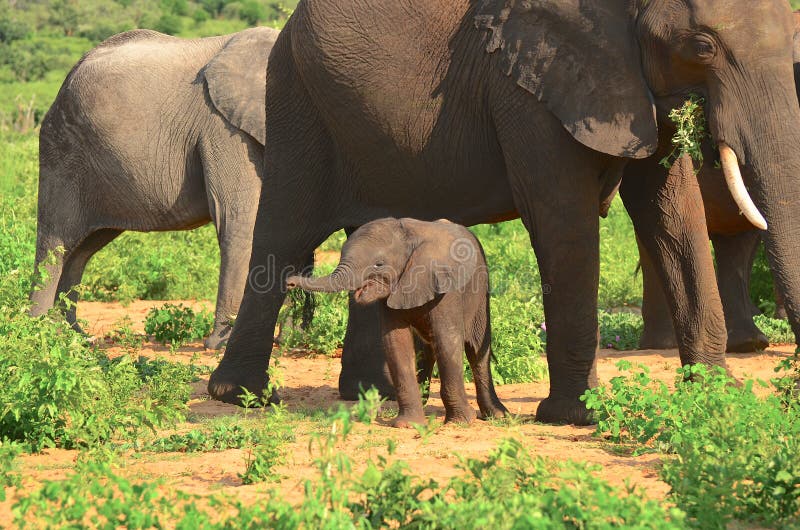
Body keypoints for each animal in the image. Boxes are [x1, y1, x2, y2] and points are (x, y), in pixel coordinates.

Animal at [32, 26, 288, 348]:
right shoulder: (223, 128)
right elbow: (238, 220)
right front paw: (223, 344)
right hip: (61, 151)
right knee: (54, 245)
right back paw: (38, 333)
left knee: (81, 250)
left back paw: (73, 337)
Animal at [286, 216, 506, 424]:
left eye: (379, 264)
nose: (290, 281)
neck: (409, 239)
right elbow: (396, 343)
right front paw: (407, 424)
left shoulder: (446, 288)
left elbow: (447, 340)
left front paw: (460, 422)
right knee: (427, 350)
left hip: (480, 291)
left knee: (476, 350)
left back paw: (496, 415)